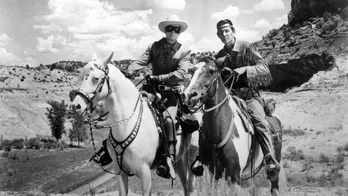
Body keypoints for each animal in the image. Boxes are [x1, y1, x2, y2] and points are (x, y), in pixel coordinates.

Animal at [70, 52, 200, 195]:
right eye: (83, 77)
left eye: (96, 78)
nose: (76, 106)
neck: (126, 125)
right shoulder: (120, 172)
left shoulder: (145, 173)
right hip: (180, 159)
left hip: (191, 156)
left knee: (191, 186)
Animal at [184, 57, 284, 195]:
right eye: (192, 70)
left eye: (211, 71)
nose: (189, 95)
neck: (219, 133)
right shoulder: (213, 173)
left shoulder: (234, 176)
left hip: (275, 162)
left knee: (274, 186)